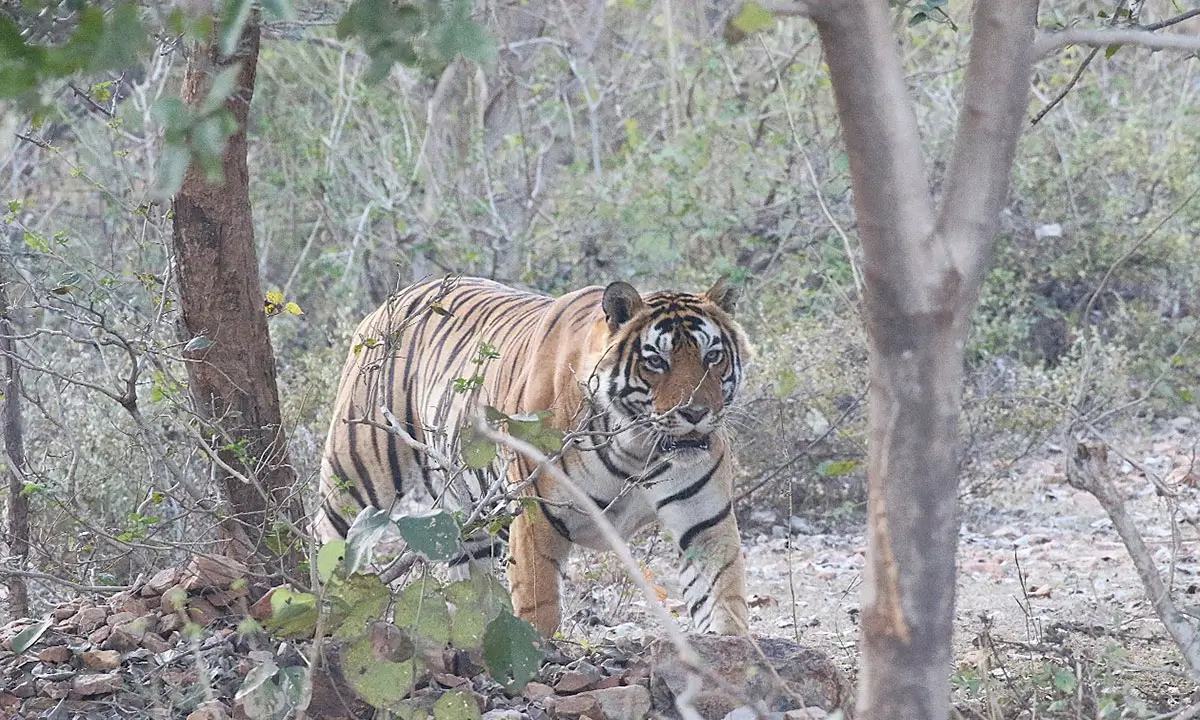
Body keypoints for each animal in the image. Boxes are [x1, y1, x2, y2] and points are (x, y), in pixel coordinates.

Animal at [318, 274, 750, 637]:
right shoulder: (535, 517)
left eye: (712, 357)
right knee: (329, 541)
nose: (696, 413)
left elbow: (723, 594)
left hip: (472, 520)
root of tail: (398, 294)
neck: (635, 448)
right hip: (355, 477)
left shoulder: (705, 521)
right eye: (656, 361)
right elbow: (539, 603)